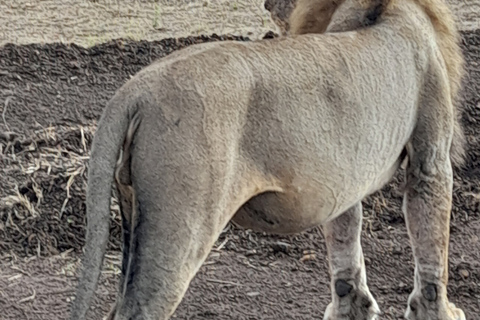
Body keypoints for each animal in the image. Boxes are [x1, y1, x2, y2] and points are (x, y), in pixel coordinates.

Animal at [69, 0, 466, 318]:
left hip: (132, 212)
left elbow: (345, 243)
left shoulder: (342, 179)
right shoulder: (430, 159)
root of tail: (134, 90)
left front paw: (353, 309)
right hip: (179, 223)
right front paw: (440, 312)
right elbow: (432, 248)